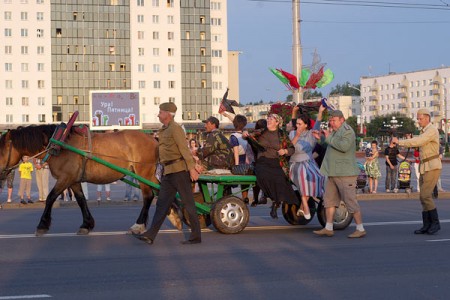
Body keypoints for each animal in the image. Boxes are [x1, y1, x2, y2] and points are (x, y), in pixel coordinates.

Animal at [0, 124, 176, 237]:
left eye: (1, 150)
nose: (1, 173)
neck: (60, 144)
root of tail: (154, 139)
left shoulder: (65, 178)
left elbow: (50, 198)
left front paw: (42, 225)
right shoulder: (73, 180)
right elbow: (81, 200)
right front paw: (87, 224)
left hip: (143, 173)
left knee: (149, 196)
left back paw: (139, 225)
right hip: (149, 174)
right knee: (162, 192)